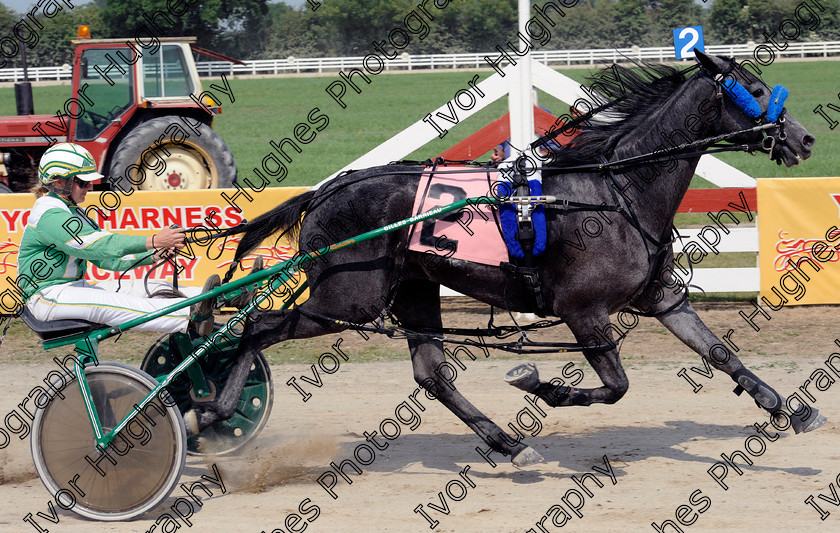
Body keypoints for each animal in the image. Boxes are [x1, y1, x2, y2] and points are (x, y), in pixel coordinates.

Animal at [189, 51, 820, 466]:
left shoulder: (661, 297)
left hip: (412, 289)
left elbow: (719, 352)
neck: (613, 191)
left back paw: (506, 443)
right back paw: (214, 411)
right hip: (348, 299)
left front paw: (785, 409)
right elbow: (615, 385)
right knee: (257, 329)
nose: (805, 139)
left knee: (431, 374)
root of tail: (324, 191)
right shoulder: (582, 310)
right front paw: (543, 386)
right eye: (753, 88)